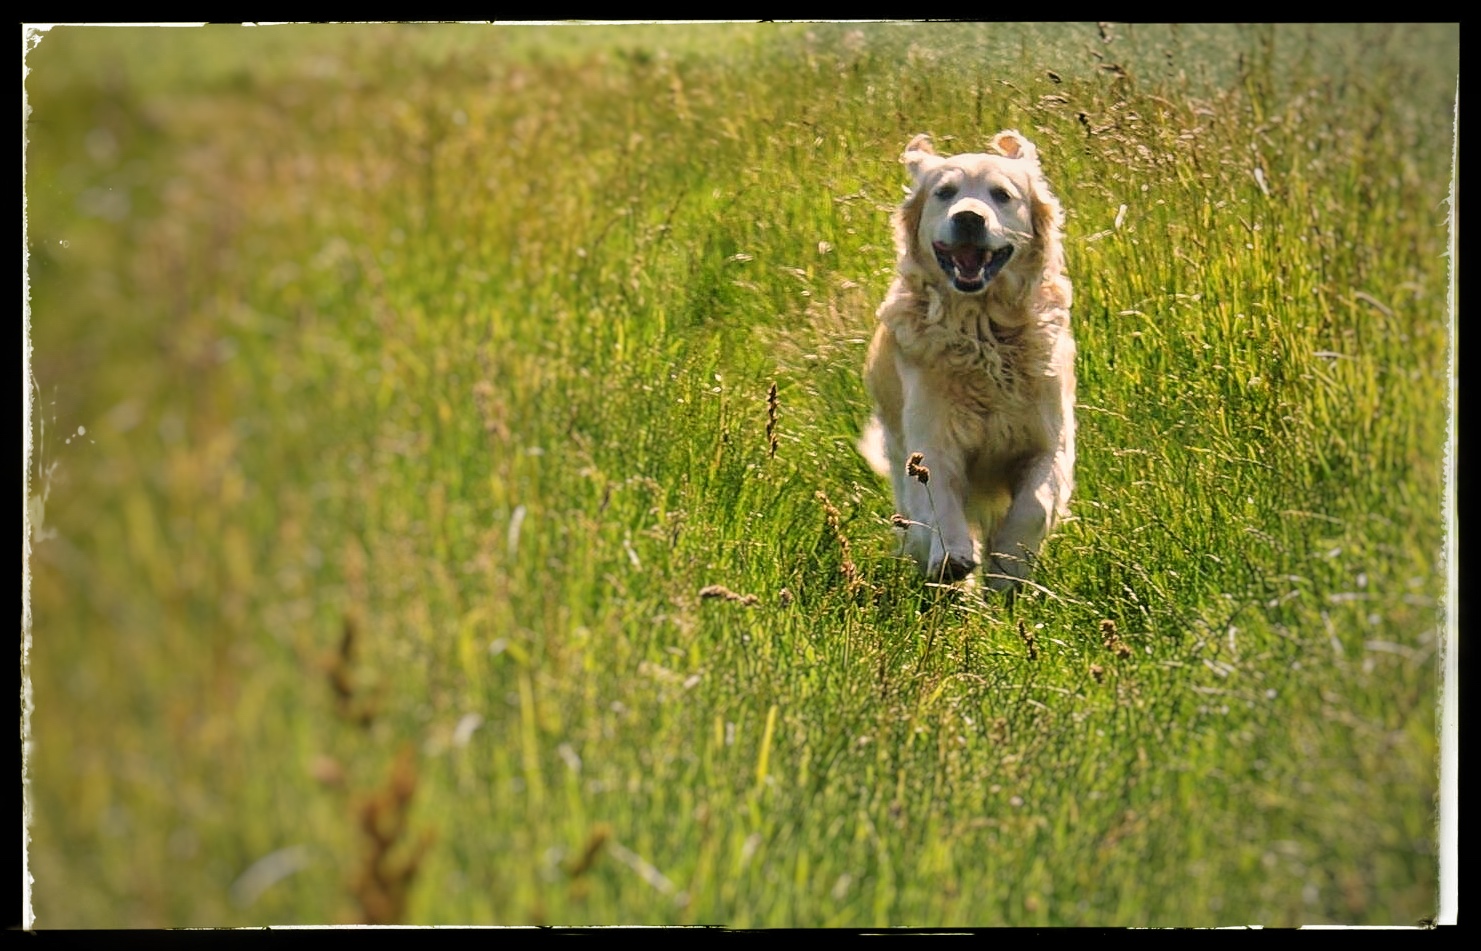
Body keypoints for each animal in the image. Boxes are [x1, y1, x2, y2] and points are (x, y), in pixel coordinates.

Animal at [858, 129, 1078, 589]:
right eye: (945, 192)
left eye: (1002, 194)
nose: (969, 219)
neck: (982, 332)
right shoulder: (932, 439)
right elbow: (939, 498)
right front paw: (953, 556)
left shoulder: (1051, 441)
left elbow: (1035, 505)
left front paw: (1008, 564)